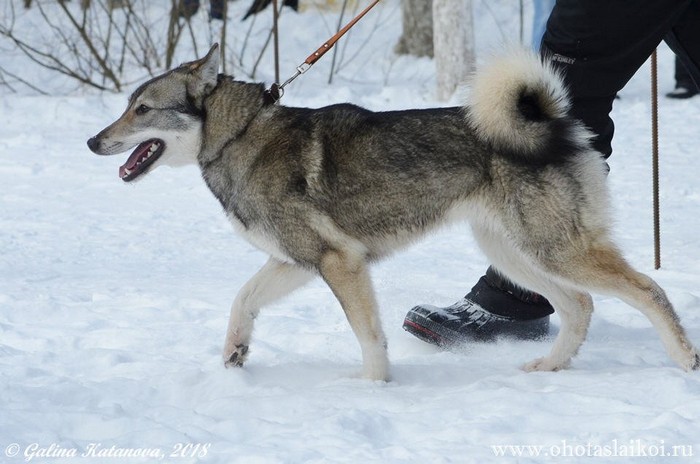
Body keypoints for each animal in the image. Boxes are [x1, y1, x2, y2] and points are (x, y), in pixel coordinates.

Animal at [87, 44, 698, 380]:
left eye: (142, 109)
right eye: (127, 105)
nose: (93, 141)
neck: (238, 135)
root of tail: (554, 124)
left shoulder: (340, 263)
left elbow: (369, 336)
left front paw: (373, 386)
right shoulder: (297, 262)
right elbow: (243, 300)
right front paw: (235, 353)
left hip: (555, 249)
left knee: (647, 291)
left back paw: (684, 359)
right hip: (513, 252)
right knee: (580, 306)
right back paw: (551, 367)